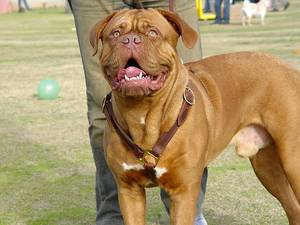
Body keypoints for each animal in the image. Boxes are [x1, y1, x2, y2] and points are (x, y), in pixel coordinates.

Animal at [90, 7, 300, 225]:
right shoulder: (129, 191)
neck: (143, 113)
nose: (130, 39)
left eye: (153, 33)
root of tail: (289, 67)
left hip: (293, 162)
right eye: (115, 34)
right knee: (292, 207)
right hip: (266, 166)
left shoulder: (183, 192)